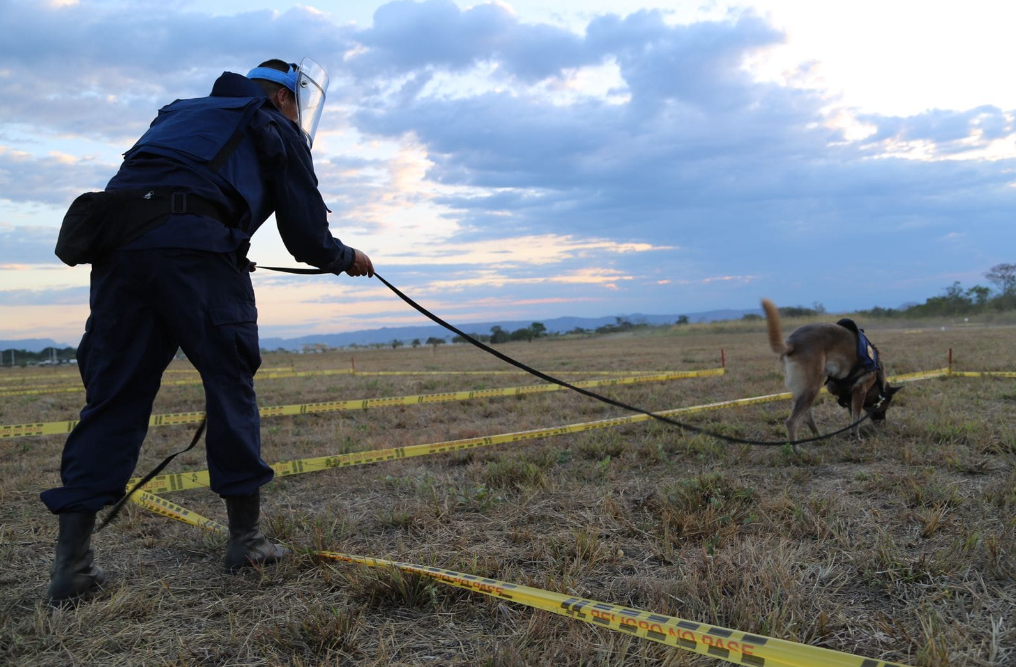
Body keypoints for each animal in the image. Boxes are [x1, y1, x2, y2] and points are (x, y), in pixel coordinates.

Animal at [764, 298, 898, 441]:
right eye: (885, 405)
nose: (883, 424)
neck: (877, 380)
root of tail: (792, 344)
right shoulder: (860, 391)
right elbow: (856, 419)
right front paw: (857, 438)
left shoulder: (849, 397)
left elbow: (852, 418)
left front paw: (852, 435)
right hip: (812, 389)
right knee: (792, 421)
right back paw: (797, 446)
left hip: (802, 391)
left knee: (807, 418)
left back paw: (818, 437)